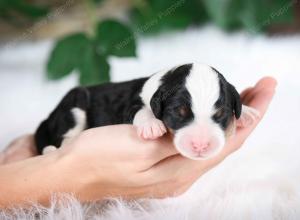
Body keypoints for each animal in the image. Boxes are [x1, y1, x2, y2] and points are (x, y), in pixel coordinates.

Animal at [35, 63, 258, 160]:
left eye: (220, 114)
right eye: (179, 112)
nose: (201, 145)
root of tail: (48, 117)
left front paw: (247, 112)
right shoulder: (129, 104)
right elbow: (139, 111)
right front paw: (151, 126)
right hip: (74, 105)